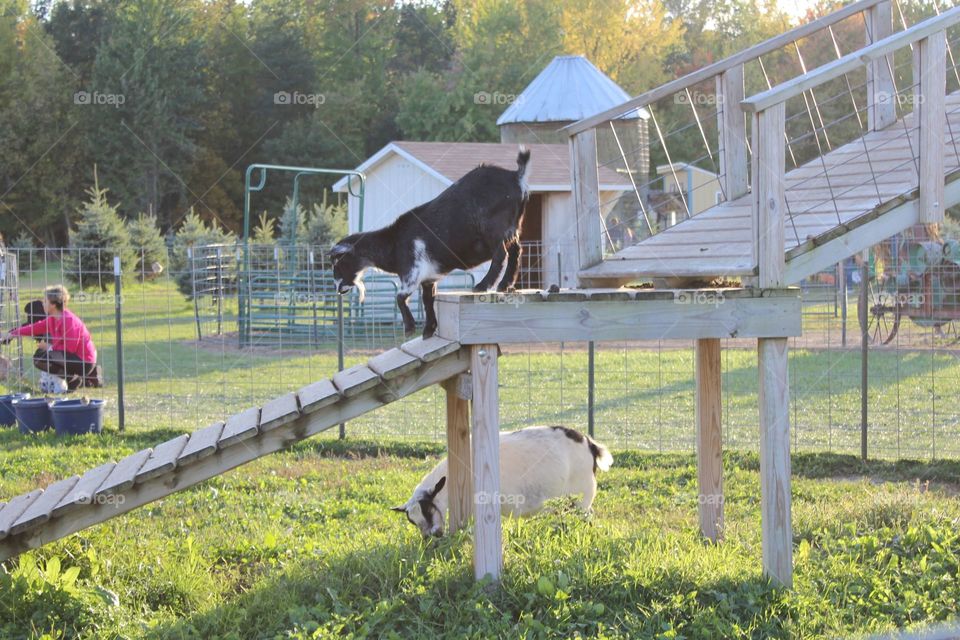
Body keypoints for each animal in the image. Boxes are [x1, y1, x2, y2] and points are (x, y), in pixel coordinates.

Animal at [328, 148, 524, 338]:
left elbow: (400, 297)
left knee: (501, 254)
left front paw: (409, 328)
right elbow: (428, 300)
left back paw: (483, 285)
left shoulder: (412, 272)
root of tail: (515, 177)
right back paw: (505, 284)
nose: (338, 287)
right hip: (512, 229)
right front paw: (429, 329)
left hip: (494, 229)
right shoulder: (429, 278)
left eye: (339, 261)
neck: (393, 242)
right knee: (516, 251)